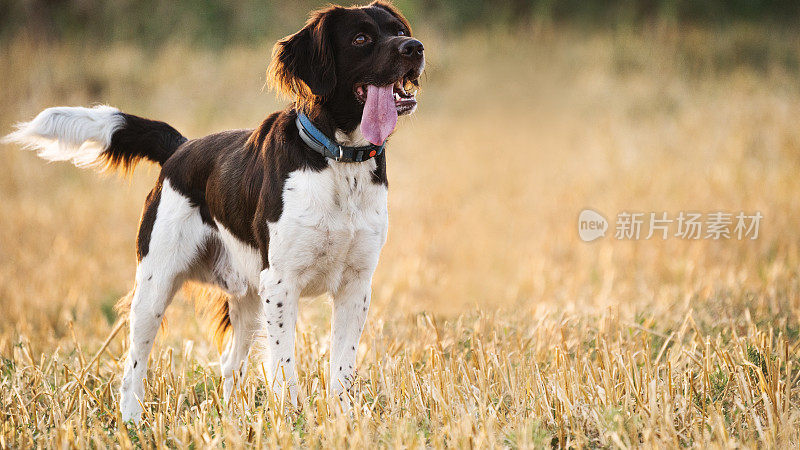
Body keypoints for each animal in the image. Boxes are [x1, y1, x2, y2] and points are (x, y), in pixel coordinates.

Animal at [4, 0, 424, 422]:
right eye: (361, 38)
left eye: (398, 30)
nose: (415, 48)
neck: (338, 159)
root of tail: (180, 148)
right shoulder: (281, 282)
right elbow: (284, 367)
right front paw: (291, 420)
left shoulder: (355, 283)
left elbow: (341, 369)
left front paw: (343, 420)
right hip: (155, 285)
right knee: (133, 366)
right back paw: (132, 422)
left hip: (248, 296)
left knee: (228, 362)